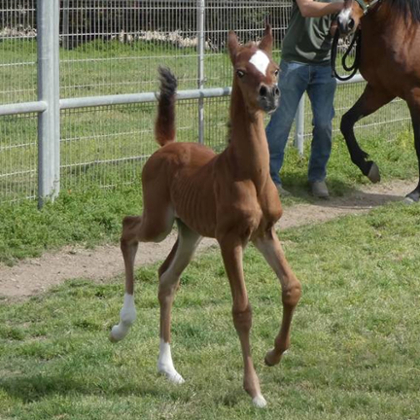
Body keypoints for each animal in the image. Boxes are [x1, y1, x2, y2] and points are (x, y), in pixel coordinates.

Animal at [109, 26, 302, 406]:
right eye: (241, 71)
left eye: (274, 69)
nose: (269, 94)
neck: (249, 173)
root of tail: (167, 145)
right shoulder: (231, 240)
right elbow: (242, 311)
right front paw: (254, 390)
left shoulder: (265, 233)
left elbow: (291, 288)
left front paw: (274, 354)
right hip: (159, 221)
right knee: (127, 230)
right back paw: (121, 327)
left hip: (189, 233)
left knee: (167, 279)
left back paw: (168, 368)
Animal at [338, 0, 420, 203]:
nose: (345, 22)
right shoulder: (380, 90)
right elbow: (346, 122)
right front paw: (367, 167)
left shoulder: (415, 96)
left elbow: (418, 143)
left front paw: (415, 194)